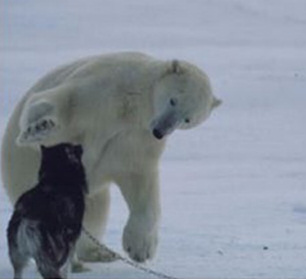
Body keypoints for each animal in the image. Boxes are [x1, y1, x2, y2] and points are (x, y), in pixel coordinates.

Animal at [6, 144, 87, 279]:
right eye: (71, 147)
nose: (80, 145)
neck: (56, 178)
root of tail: (27, 218)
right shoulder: (70, 242)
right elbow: (66, 268)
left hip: (18, 258)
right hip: (53, 252)